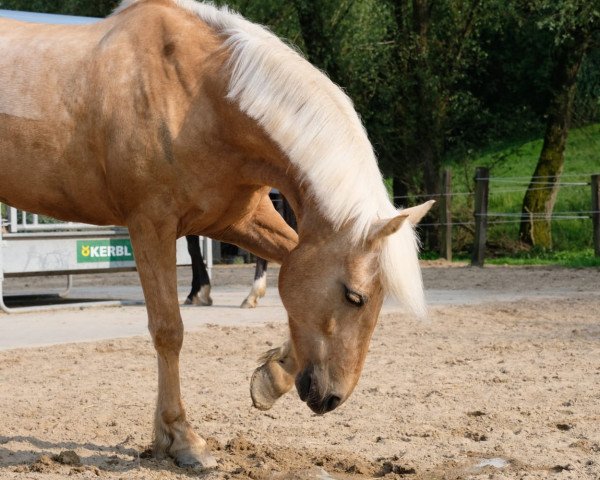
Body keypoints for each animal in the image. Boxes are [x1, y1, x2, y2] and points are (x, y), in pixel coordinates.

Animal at [0, 0, 432, 470]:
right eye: (355, 296)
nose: (332, 399)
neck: (196, 95)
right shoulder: (151, 225)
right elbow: (168, 330)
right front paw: (182, 440)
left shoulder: (240, 219)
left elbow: (286, 272)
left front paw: (271, 377)